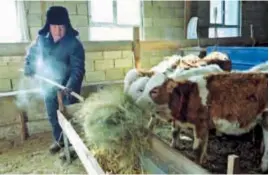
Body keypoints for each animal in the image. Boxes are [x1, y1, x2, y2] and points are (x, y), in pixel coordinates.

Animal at [138, 71, 266, 172]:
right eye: (144, 88)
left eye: (154, 91)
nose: (137, 102)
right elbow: (177, 136)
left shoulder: (200, 124)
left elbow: (197, 149)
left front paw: (197, 165)